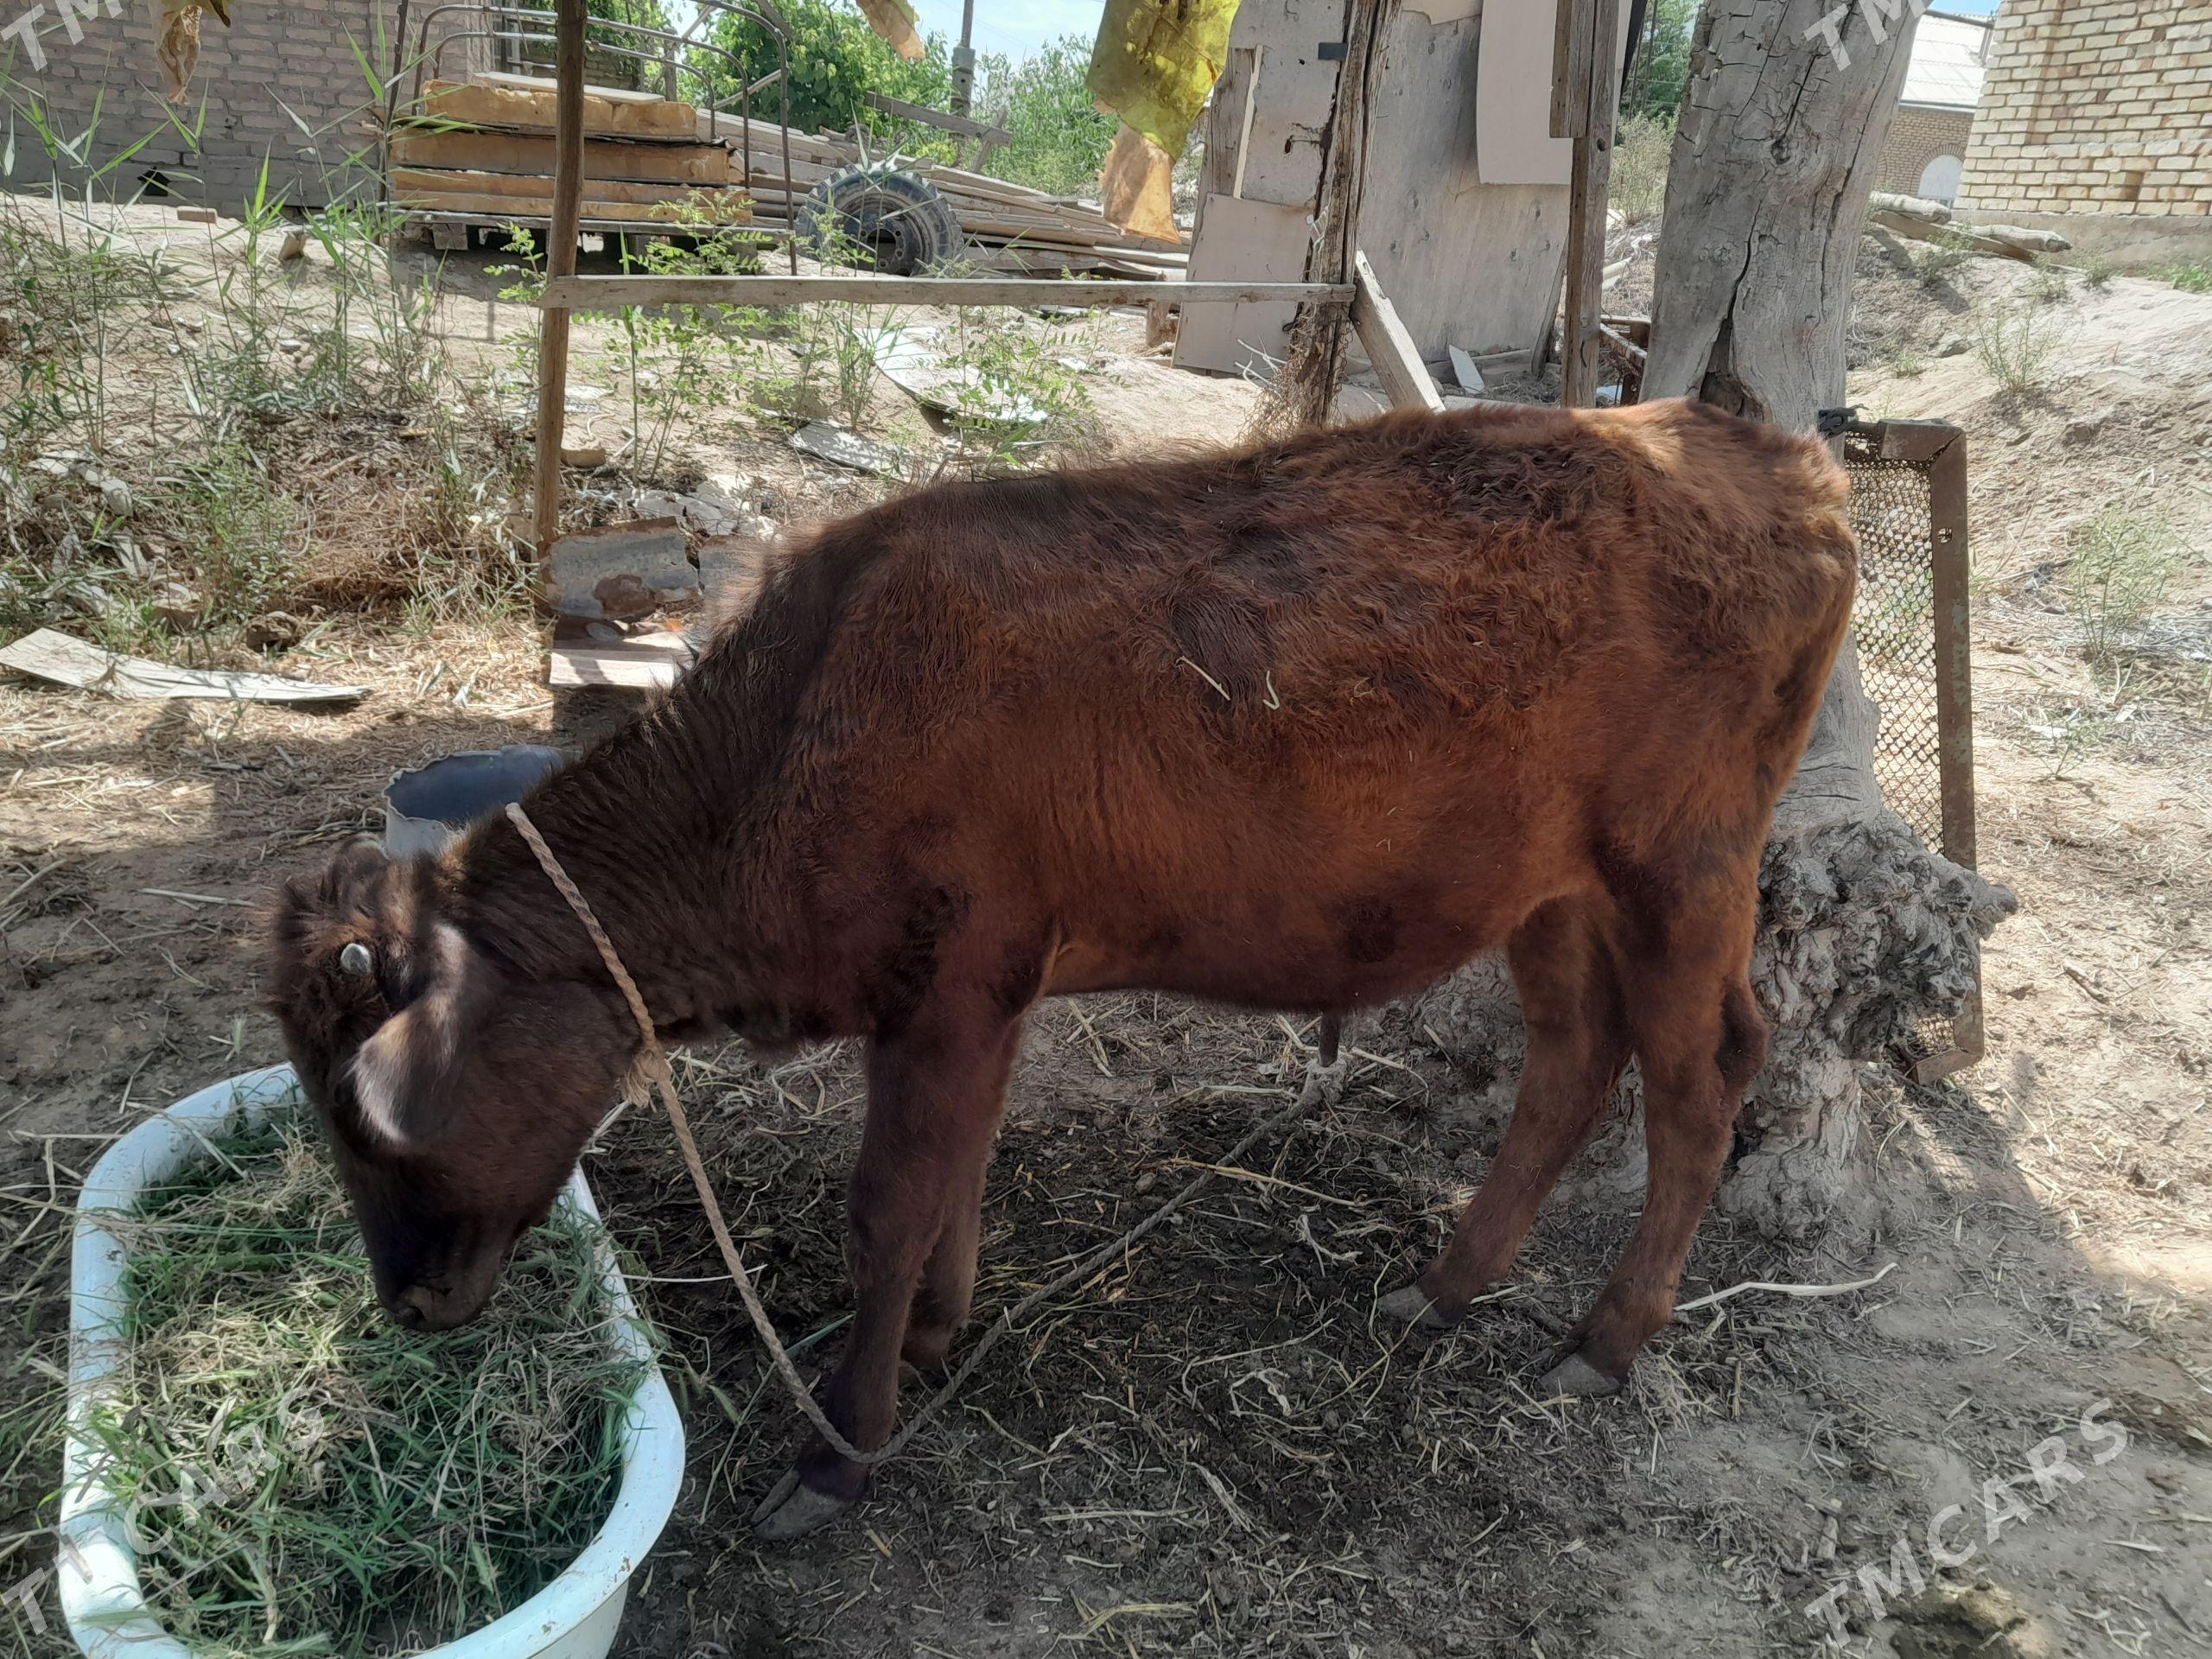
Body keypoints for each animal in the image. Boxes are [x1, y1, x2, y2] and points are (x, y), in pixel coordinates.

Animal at [269, 398, 1856, 1539]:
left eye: (363, 1113)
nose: (409, 1308)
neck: (801, 727)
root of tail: (1755, 446)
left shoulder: (956, 986)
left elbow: (891, 1203)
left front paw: (840, 1452)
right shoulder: (974, 1001)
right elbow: (953, 1181)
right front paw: (932, 1340)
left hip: (1684, 866)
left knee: (1703, 1072)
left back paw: (1606, 1339)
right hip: (1551, 889)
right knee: (1574, 1055)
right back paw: (1447, 1284)